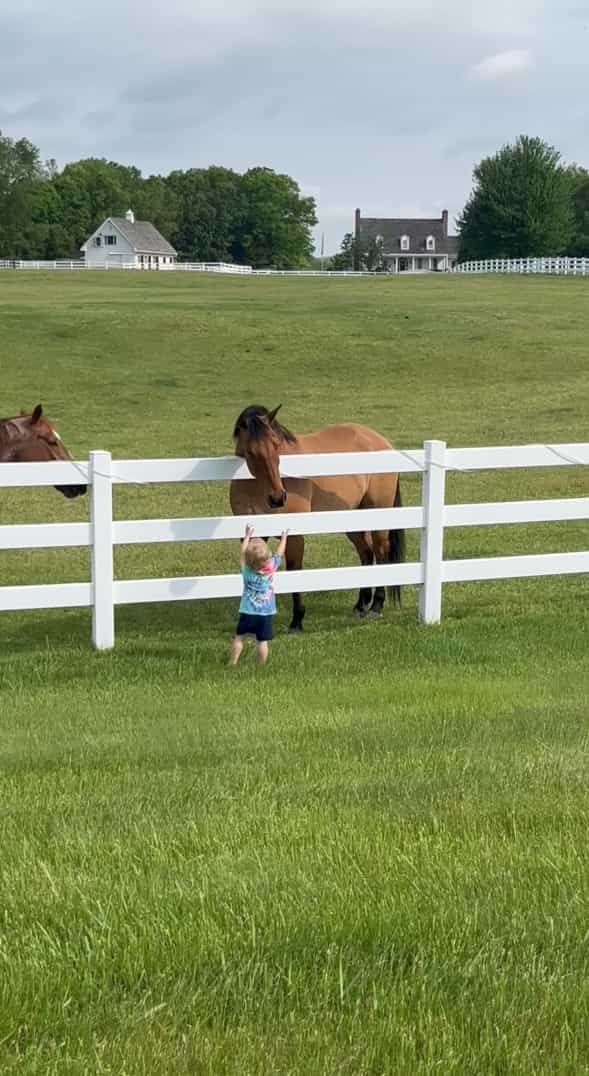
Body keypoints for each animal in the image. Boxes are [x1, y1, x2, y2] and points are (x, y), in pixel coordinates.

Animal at [230, 404, 404, 628]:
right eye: (251, 452)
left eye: (276, 445)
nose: (278, 497)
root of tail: (381, 441)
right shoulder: (252, 535)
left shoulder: (294, 537)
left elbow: (294, 571)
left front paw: (297, 620)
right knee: (366, 553)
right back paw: (360, 605)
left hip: (378, 516)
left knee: (381, 552)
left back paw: (376, 606)